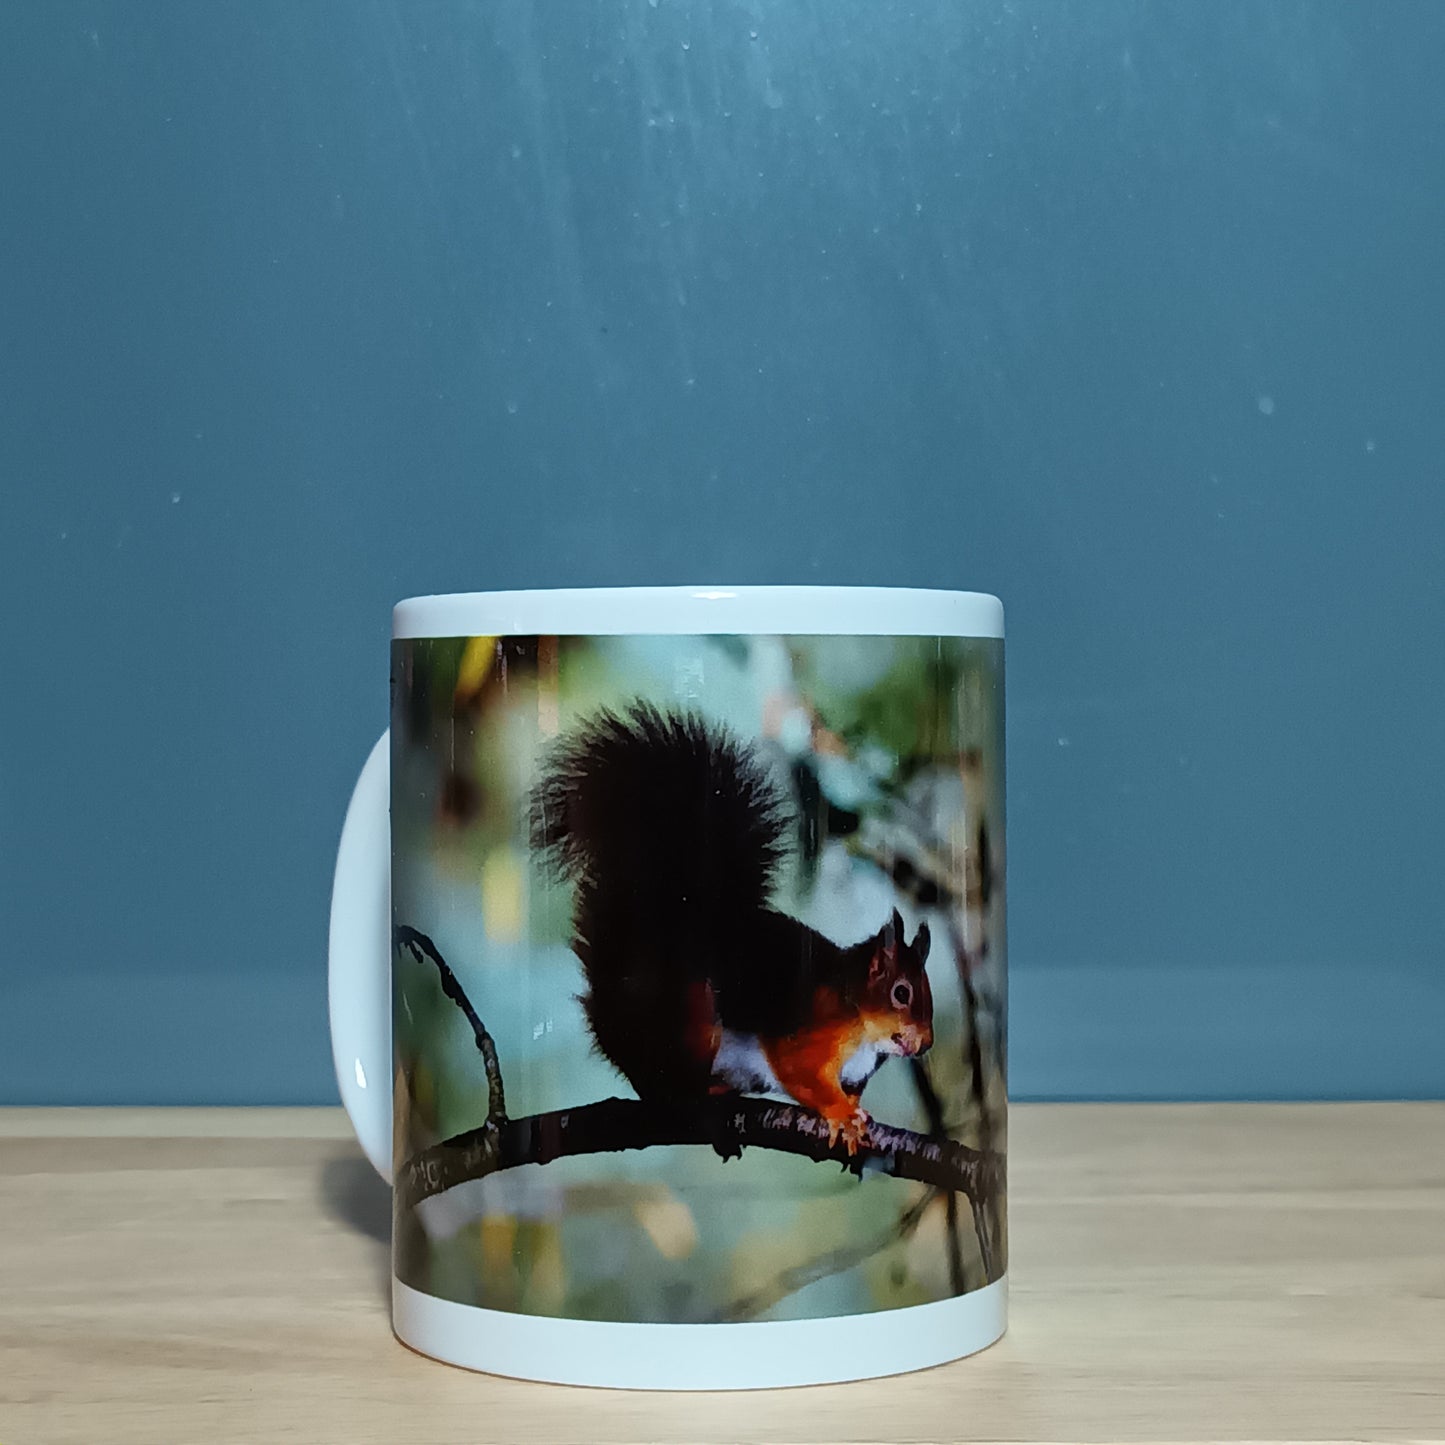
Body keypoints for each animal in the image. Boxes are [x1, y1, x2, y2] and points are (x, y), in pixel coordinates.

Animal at [532, 702, 934, 1154]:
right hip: (692, 1018)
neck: (859, 1017)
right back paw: (695, 1095)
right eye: (902, 993)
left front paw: (857, 1113)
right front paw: (840, 1113)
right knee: (658, 1083)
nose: (926, 1043)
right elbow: (797, 1071)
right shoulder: (806, 1032)